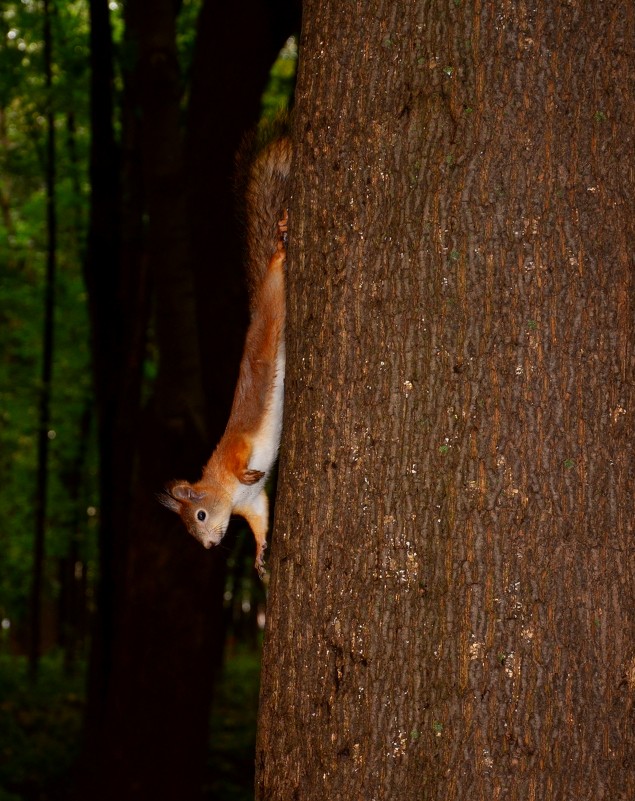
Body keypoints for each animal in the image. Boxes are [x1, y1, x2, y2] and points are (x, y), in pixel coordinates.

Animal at [163, 133, 294, 576]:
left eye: (200, 515)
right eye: (190, 531)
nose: (207, 545)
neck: (225, 491)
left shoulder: (233, 446)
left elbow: (240, 458)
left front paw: (250, 471)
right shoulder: (251, 506)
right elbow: (260, 519)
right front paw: (260, 556)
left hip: (272, 311)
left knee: (275, 277)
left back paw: (279, 250)